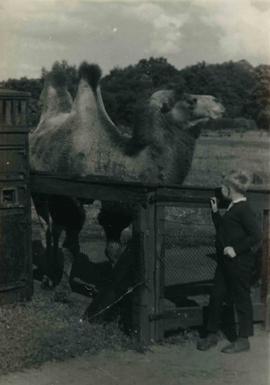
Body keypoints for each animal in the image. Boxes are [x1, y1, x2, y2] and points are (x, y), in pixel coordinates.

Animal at [29, 62, 225, 292]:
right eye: (190, 101)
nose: (218, 101)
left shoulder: (117, 207)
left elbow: (113, 248)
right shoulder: (70, 194)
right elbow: (73, 240)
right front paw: (63, 287)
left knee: (54, 228)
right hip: (39, 191)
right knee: (47, 228)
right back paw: (47, 274)